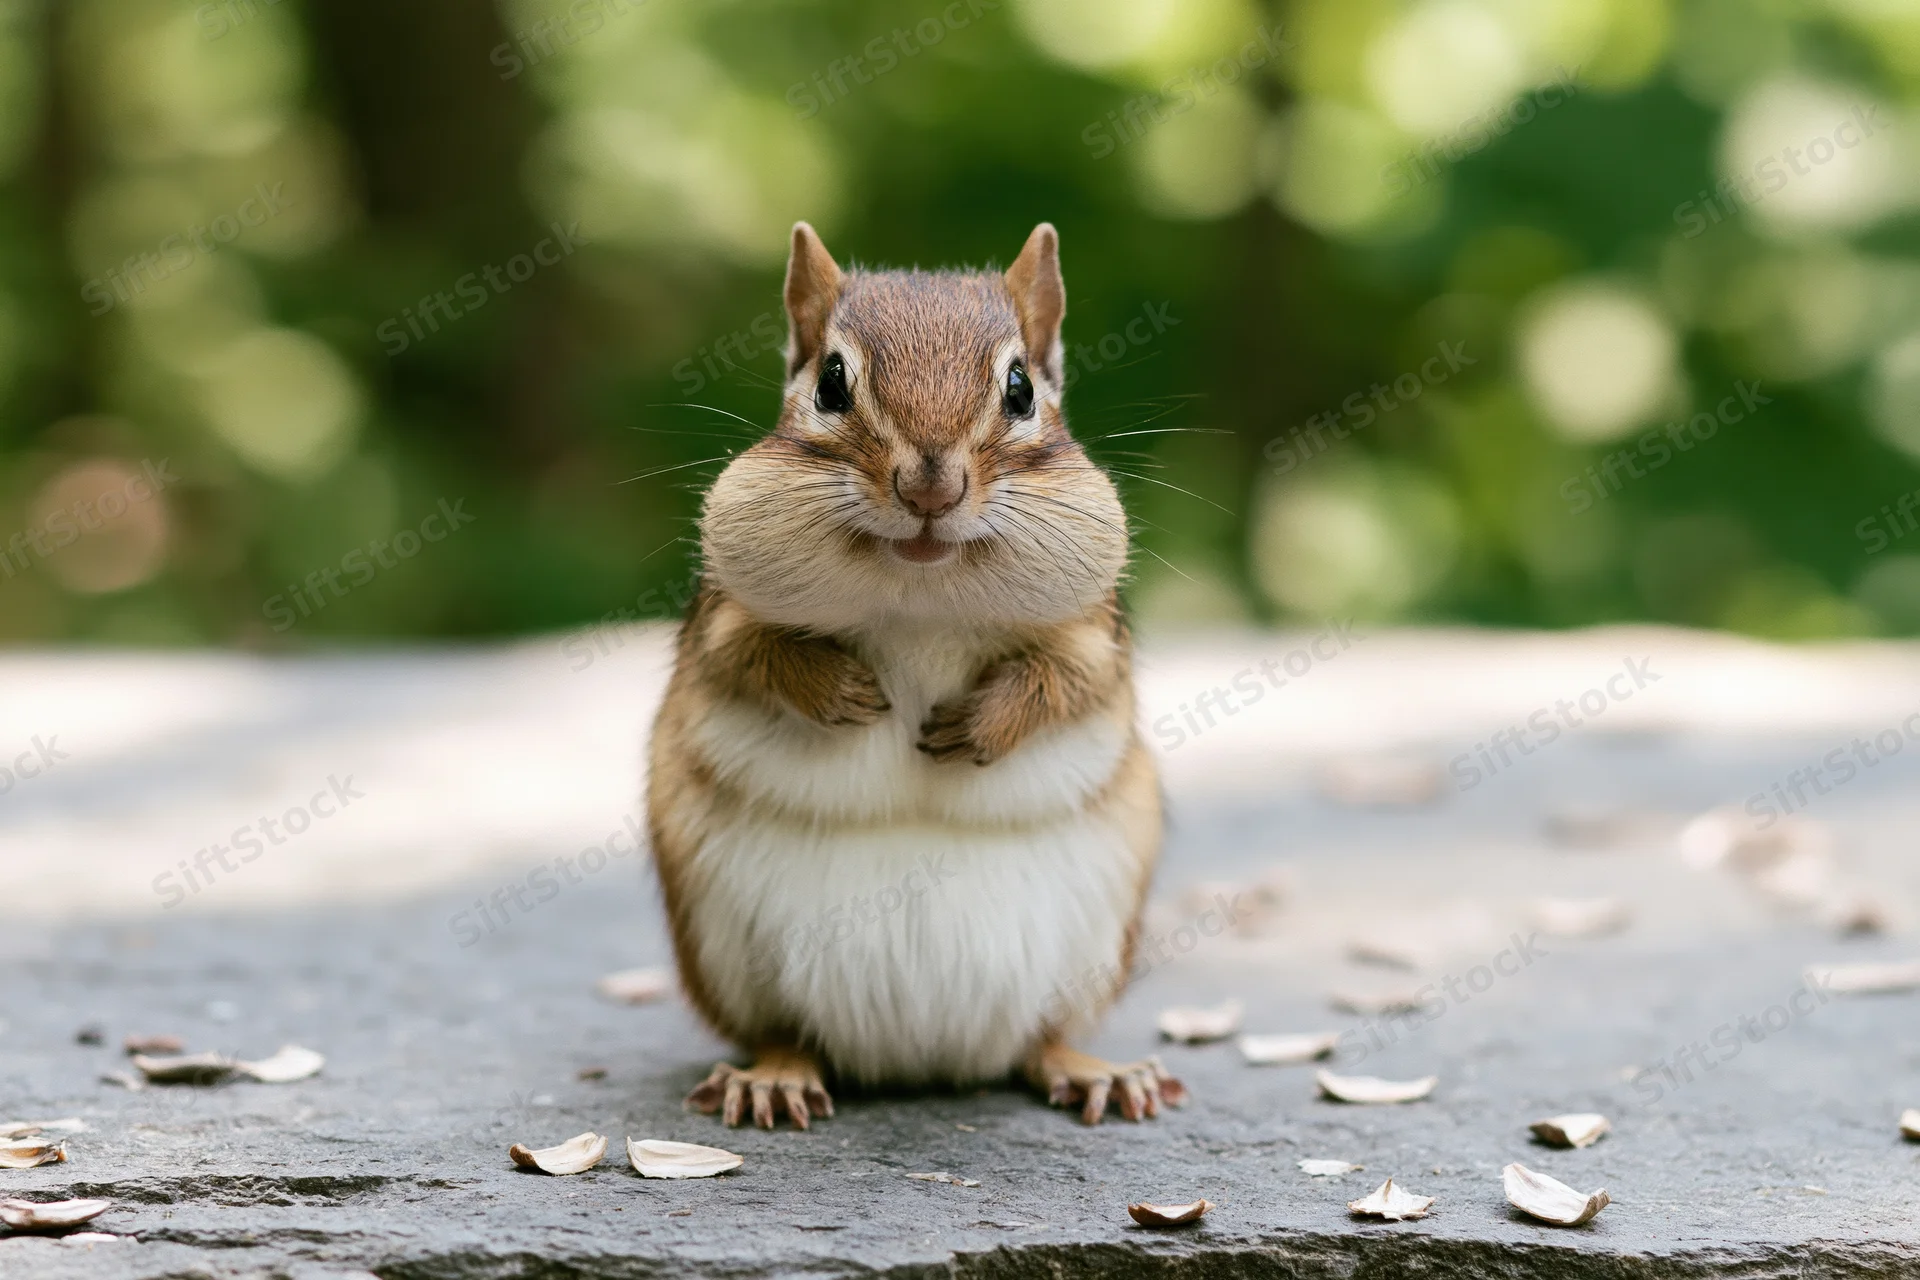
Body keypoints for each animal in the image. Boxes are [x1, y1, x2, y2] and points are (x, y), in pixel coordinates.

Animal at [647, 221, 1183, 1128]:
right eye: (831, 382)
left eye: (1020, 389)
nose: (931, 485)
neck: (920, 596)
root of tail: (917, 1060)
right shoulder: (720, 617)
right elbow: (750, 656)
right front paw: (840, 691)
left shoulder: (1092, 637)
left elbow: (1065, 682)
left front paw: (978, 724)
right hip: (725, 950)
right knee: (784, 1032)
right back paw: (775, 1075)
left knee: (1040, 1038)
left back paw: (1094, 1070)